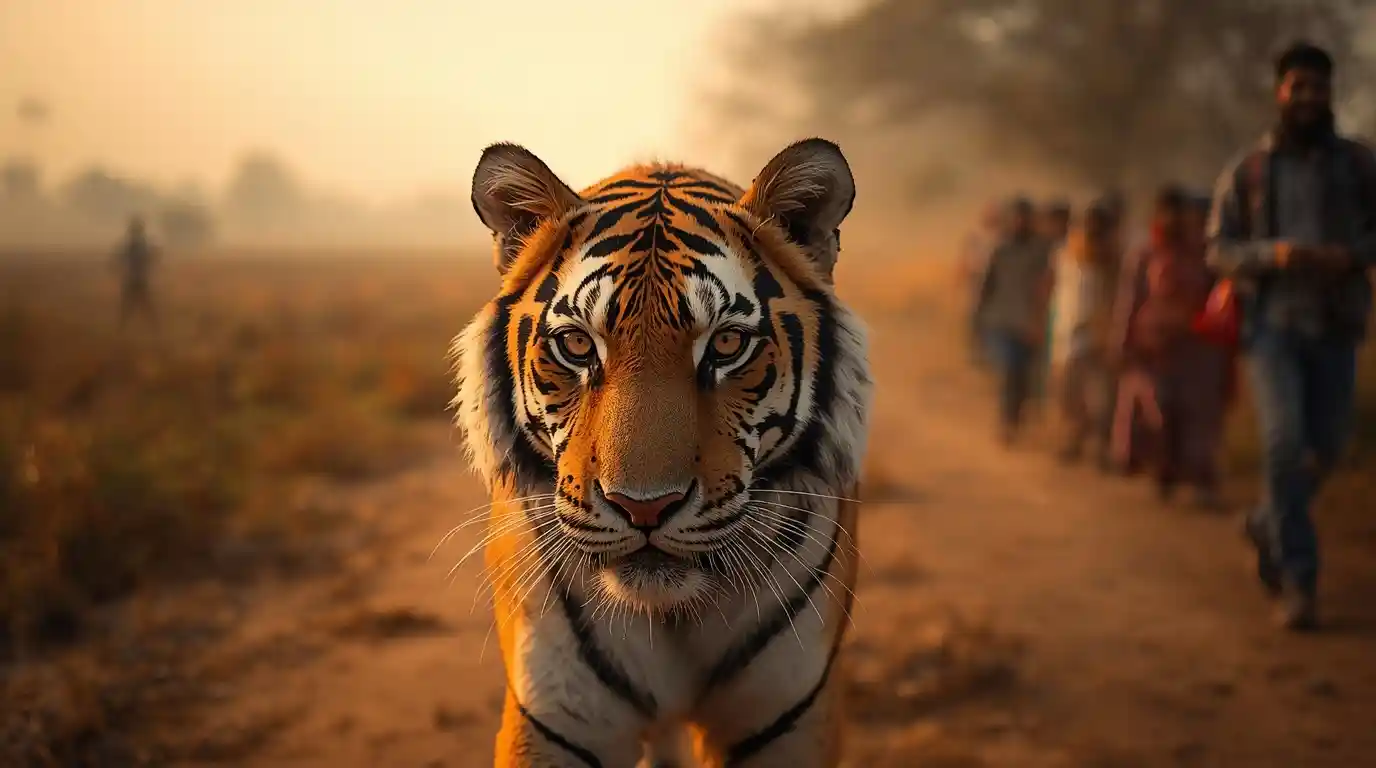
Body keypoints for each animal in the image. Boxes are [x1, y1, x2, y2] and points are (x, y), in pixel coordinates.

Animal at [452, 137, 872, 767]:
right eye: (577, 345)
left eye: (727, 343)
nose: (643, 507)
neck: (670, 617)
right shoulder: (553, 715)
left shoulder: (790, 716)